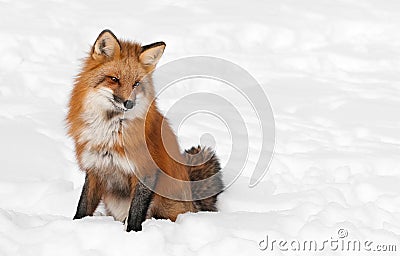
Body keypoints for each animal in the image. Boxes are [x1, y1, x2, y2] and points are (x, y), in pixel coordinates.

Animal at [67, 30, 223, 232]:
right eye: (114, 79)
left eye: (136, 84)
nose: (129, 103)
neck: (111, 132)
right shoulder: (95, 168)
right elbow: (83, 206)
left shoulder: (145, 170)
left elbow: (135, 213)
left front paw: (132, 234)